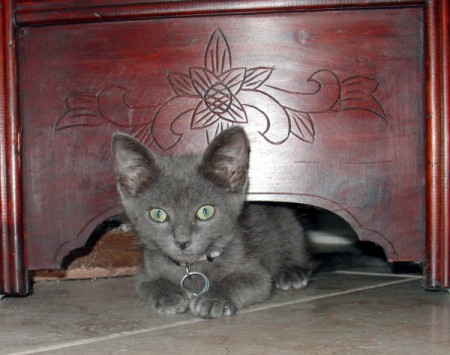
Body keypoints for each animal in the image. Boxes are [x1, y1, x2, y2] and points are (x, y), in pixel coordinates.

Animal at [112, 127, 310, 320]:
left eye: (205, 211)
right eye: (158, 214)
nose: (182, 241)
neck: (191, 267)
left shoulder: (256, 273)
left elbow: (242, 281)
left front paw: (214, 298)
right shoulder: (145, 272)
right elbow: (147, 283)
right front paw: (169, 295)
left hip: (289, 222)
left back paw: (292, 274)